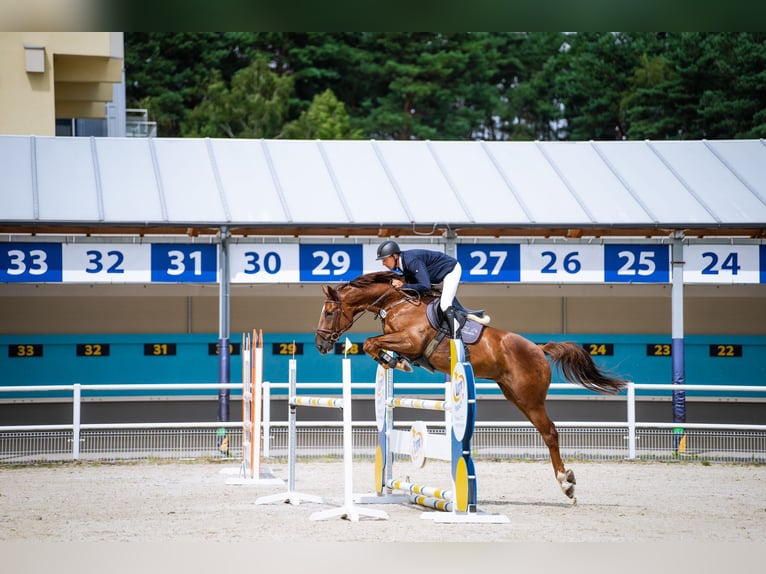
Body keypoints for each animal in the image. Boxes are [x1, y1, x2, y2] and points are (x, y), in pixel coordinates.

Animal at [314, 271, 628, 502]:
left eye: (328, 313)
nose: (320, 345)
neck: (396, 302)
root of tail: (539, 349)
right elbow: (374, 344)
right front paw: (394, 361)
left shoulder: (411, 341)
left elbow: (370, 343)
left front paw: (396, 362)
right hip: (515, 395)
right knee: (545, 431)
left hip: (530, 398)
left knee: (550, 433)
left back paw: (566, 483)